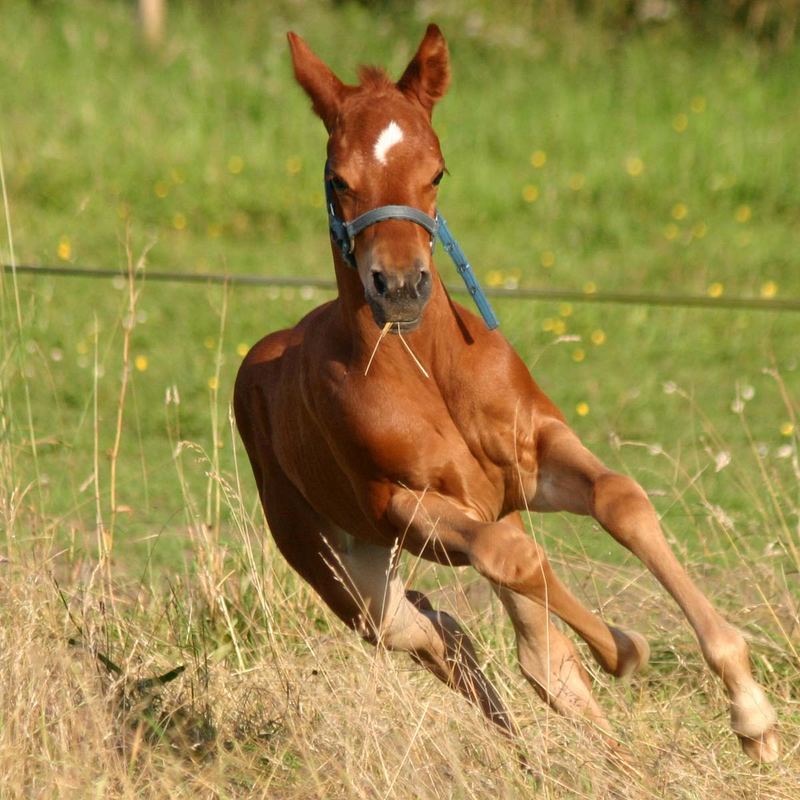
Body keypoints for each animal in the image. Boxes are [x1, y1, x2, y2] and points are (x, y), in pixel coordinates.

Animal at [233, 25, 780, 764]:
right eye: (339, 179)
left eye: (437, 171)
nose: (399, 286)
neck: (428, 370)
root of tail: (262, 356)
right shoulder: (404, 505)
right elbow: (516, 561)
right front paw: (625, 646)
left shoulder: (536, 454)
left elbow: (621, 502)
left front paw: (752, 713)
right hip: (348, 575)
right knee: (432, 630)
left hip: (480, 515)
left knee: (503, 641)